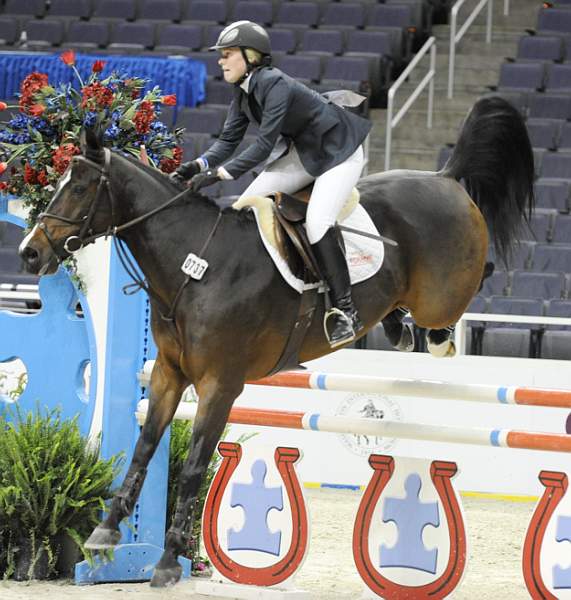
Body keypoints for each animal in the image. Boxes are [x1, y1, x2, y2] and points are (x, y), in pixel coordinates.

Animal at [19, 96, 536, 588]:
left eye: (79, 187)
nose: (29, 252)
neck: (195, 264)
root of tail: (445, 178)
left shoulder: (220, 386)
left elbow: (193, 466)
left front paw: (166, 563)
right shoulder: (167, 373)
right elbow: (144, 447)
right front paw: (105, 533)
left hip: (442, 294)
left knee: (462, 297)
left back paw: (431, 338)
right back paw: (393, 327)